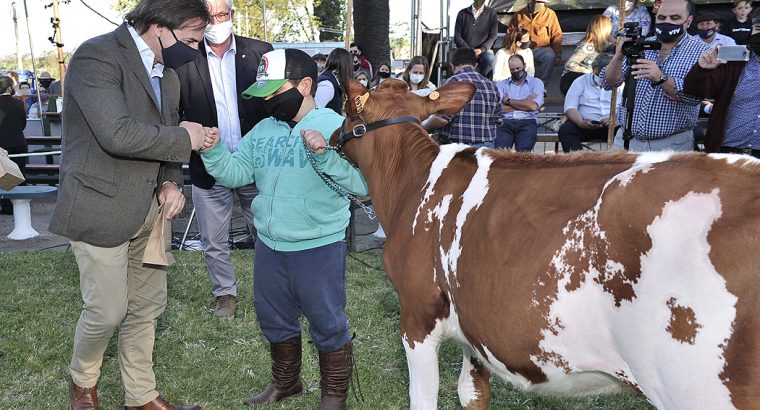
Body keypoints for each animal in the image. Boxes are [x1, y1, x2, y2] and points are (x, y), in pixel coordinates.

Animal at [332, 78, 760, 408]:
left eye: (348, 112)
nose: (332, 135)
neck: (412, 182)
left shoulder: (417, 315)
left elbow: (423, 398)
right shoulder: (475, 327)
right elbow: (472, 393)